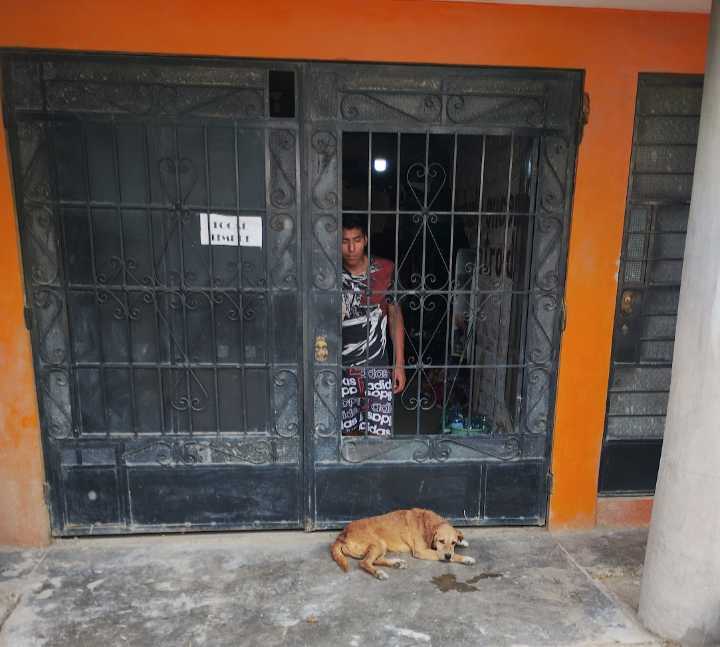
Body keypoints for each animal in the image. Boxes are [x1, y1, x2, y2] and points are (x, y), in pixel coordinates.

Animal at [330, 508, 474, 580]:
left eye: (453, 542)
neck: (426, 523)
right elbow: (449, 555)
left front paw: (463, 541)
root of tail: (341, 535)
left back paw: (396, 563)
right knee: (364, 562)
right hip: (378, 543)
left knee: (375, 560)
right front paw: (466, 558)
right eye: (441, 541)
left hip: (381, 546)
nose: (448, 556)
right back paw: (379, 573)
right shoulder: (421, 551)